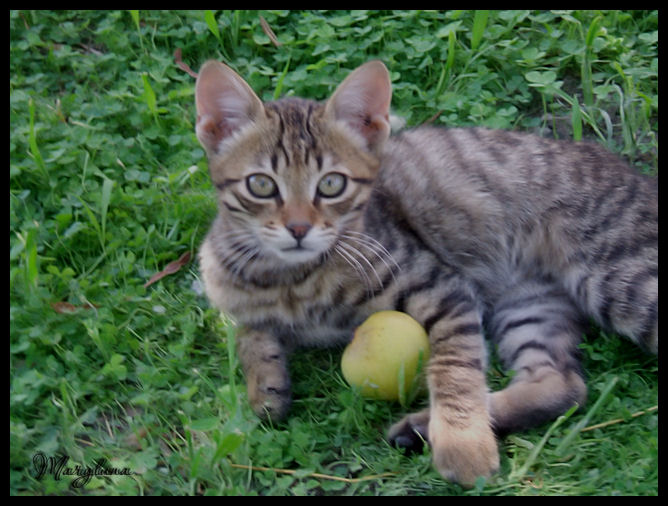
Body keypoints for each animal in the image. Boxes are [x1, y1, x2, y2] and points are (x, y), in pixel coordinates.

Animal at [193, 59, 656, 486]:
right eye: (260, 185)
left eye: (331, 184)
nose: (299, 229)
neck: (289, 281)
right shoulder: (226, 291)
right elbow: (247, 332)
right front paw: (264, 383)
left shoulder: (442, 287)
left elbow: (455, 367)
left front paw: (463, 444)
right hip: (529, 304)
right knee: (564, 384)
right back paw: (421, 427)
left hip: (621, 276)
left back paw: (433, 427)